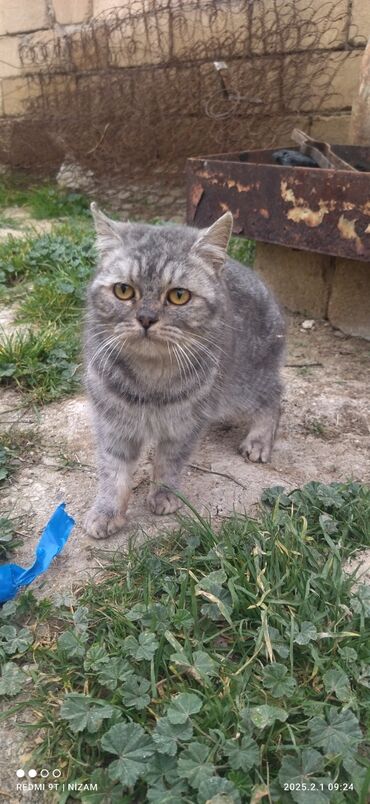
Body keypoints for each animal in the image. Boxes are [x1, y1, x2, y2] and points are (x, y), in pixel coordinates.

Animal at [84, 204, 284, 536]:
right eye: (124, 290)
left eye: (179, 296)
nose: (146, 318)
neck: (150, 379)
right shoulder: (113, 423)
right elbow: (113, 471)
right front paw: (106, 511)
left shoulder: (184, 425)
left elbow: (169, 463)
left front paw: (164, 495)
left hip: (244, 385)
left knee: (275, 395)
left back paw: (258, 441)